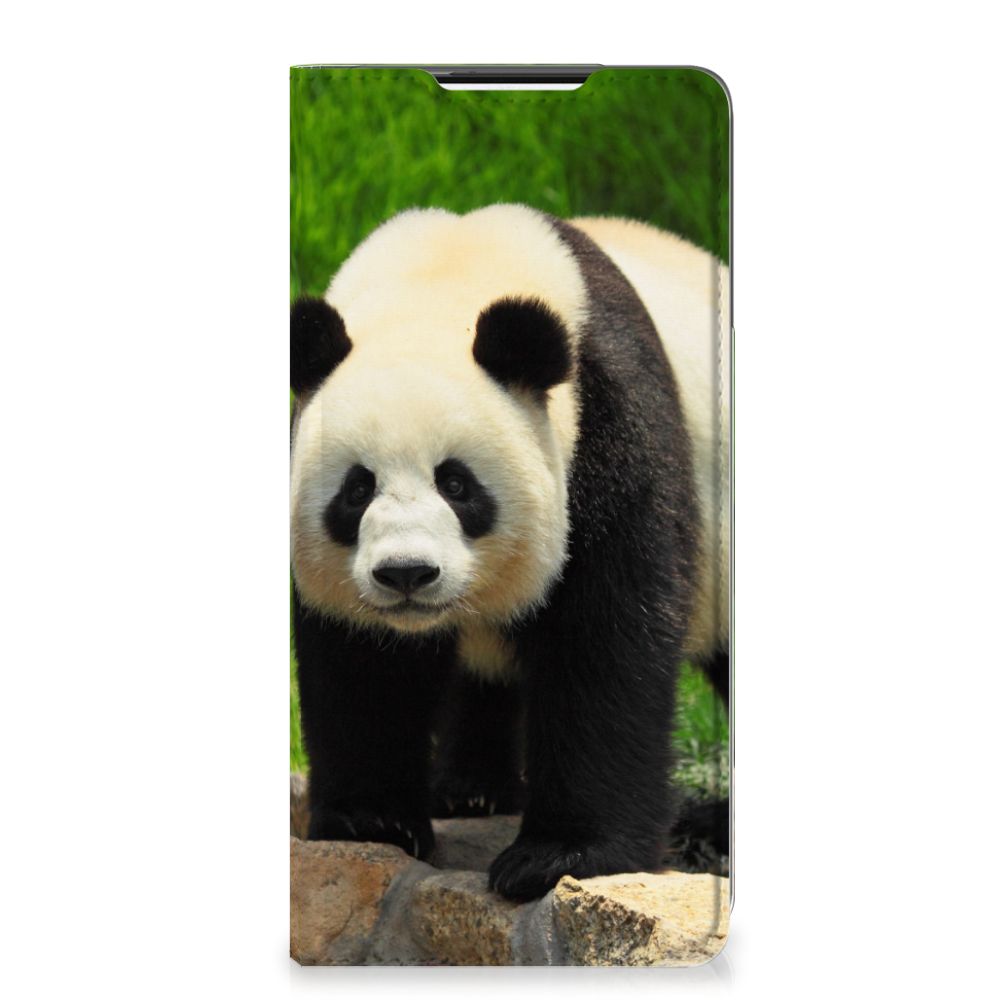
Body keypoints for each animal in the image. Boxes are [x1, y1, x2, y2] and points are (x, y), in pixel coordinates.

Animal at [290, 204, 730, 902]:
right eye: (357, 490)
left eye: (457, 484)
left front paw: (559, 856)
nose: (407, 574)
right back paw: (471, 790)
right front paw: (372, 822)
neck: (443, 278)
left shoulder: (610, 425)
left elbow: (605, 639)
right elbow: (362, 663)